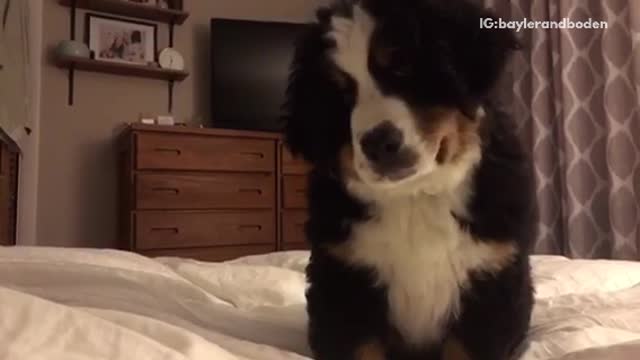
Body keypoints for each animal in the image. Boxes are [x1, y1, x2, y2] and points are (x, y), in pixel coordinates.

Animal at [282, 1, 536, 358]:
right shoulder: (343, 282)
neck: (415, 197)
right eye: (341, 94)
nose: (378, 143)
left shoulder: (491, 281)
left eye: (404, 68)